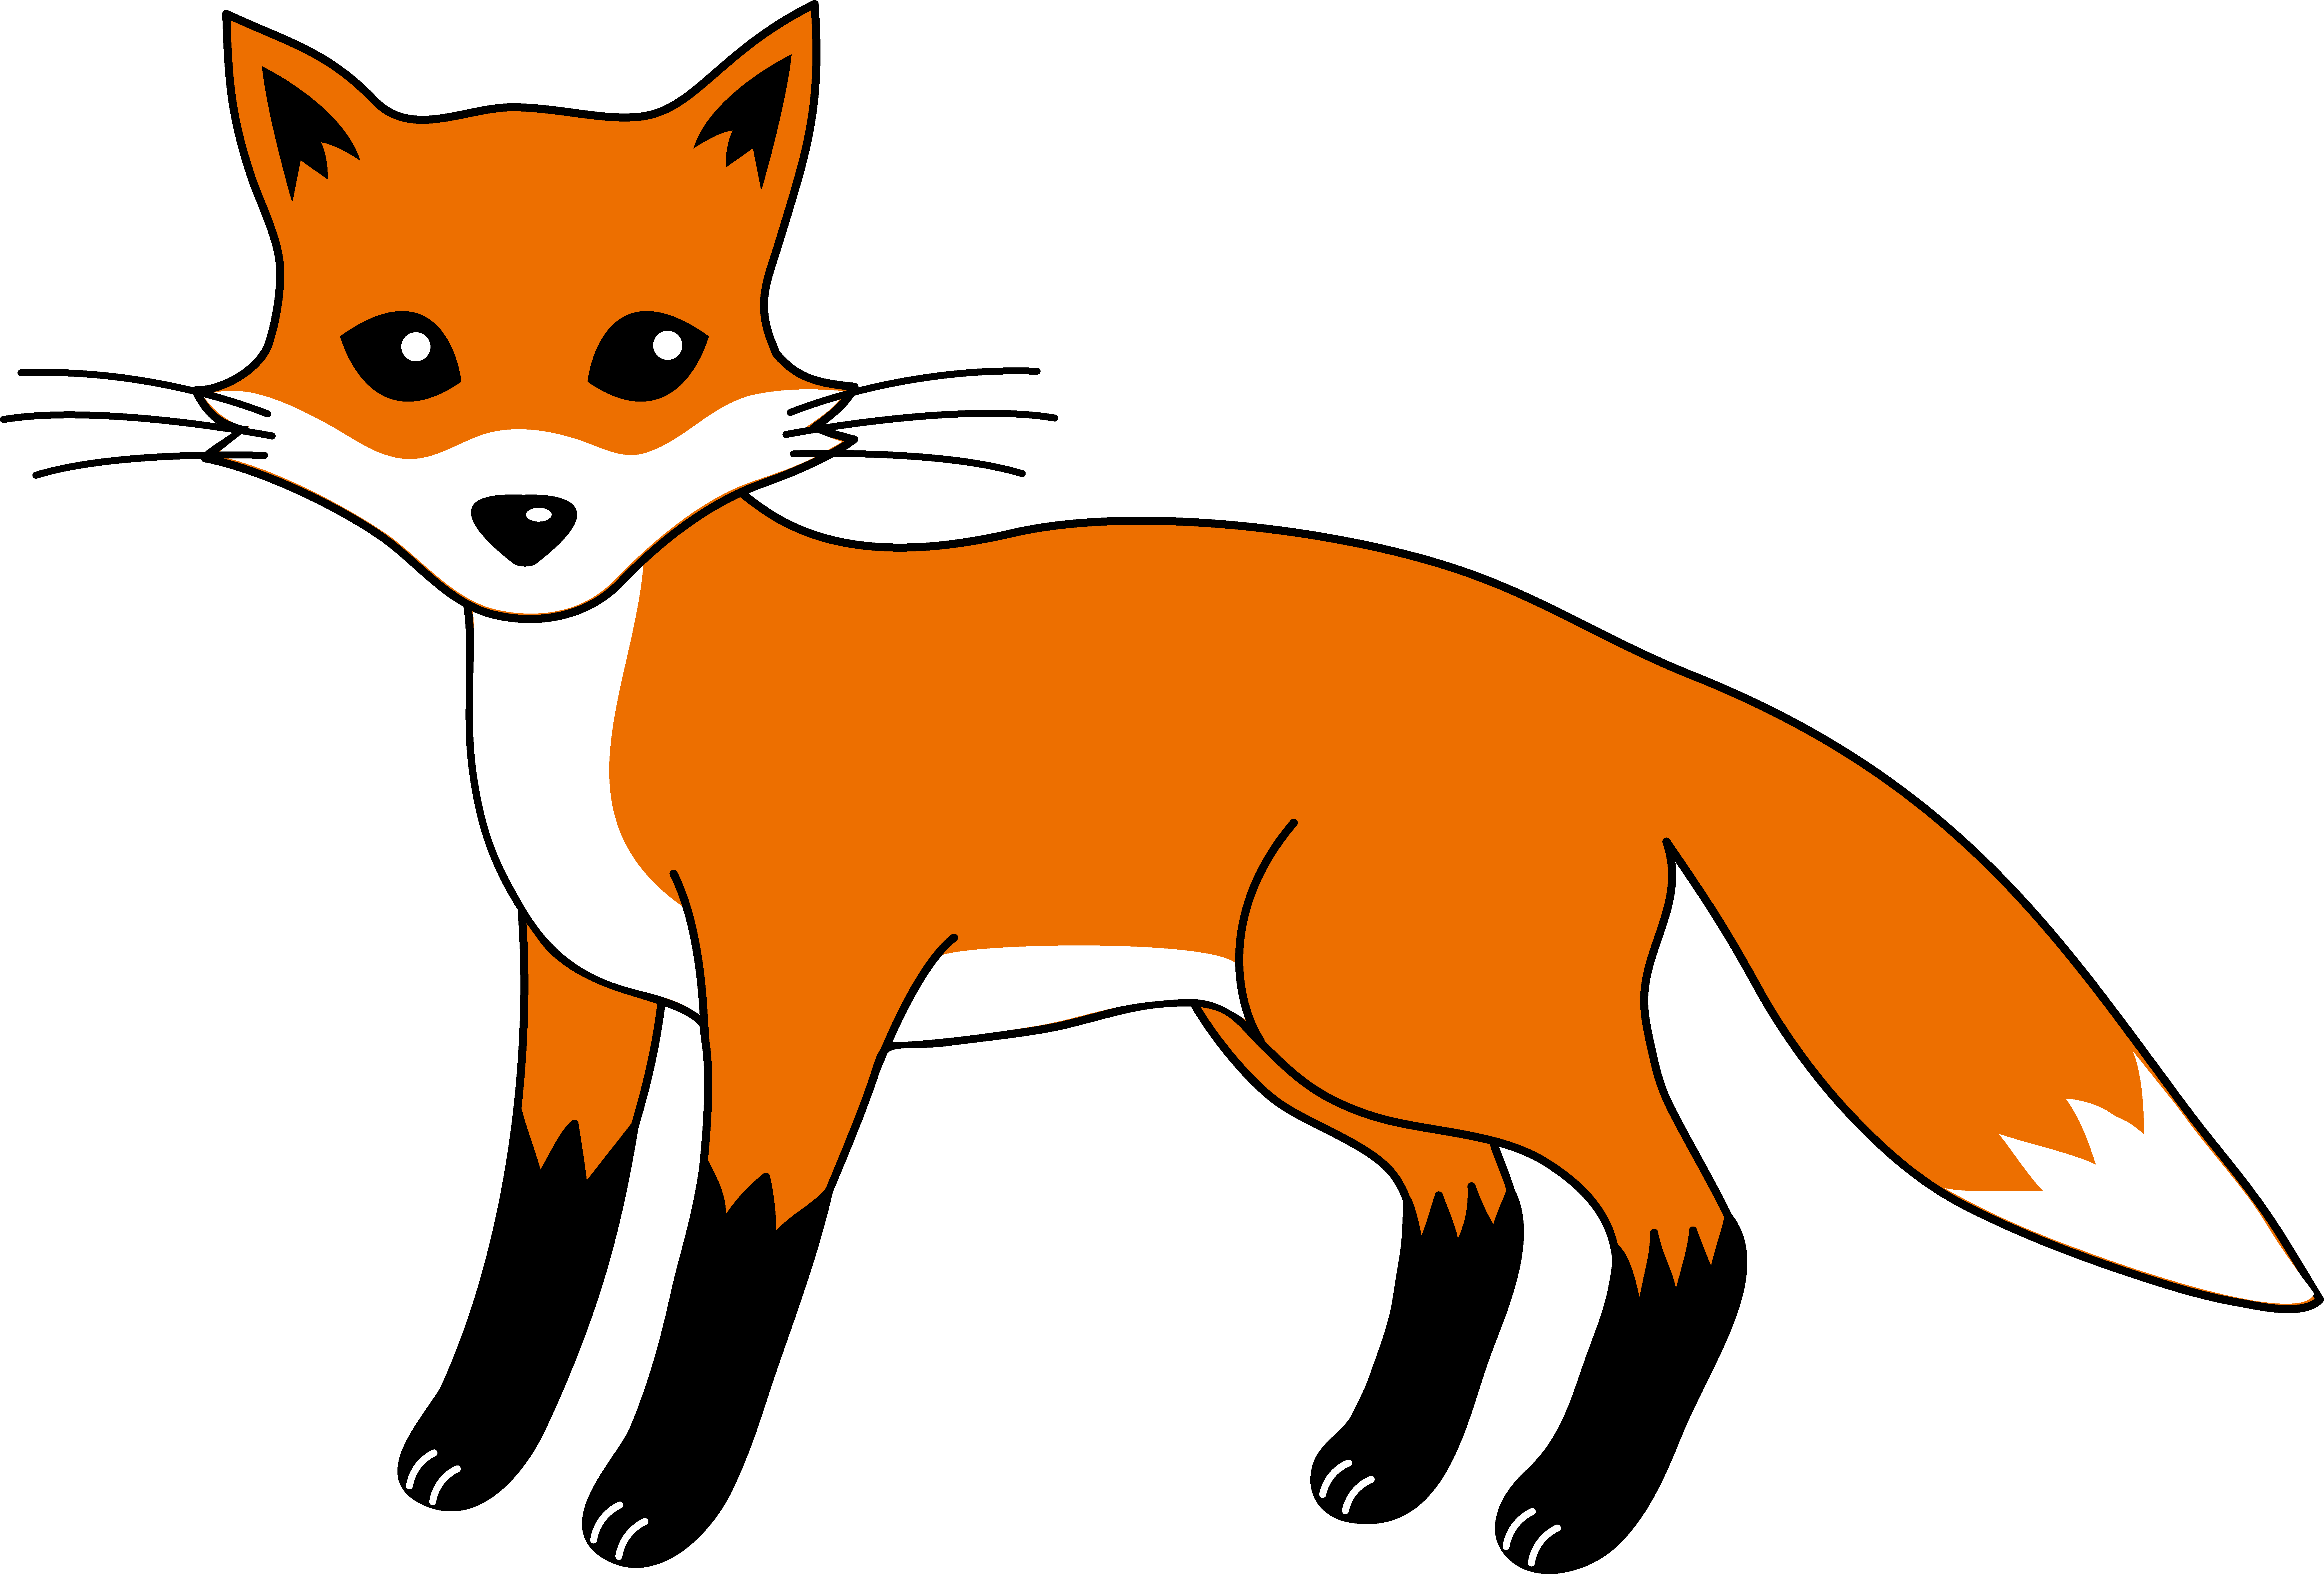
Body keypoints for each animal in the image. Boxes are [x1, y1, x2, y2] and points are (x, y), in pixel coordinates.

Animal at [210, 14, 2307, 1305]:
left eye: (648, 355)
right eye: (404, 358)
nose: (527, 521)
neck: (583, 693)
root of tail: (1607, 659)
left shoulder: (812, 970)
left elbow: (765, 1170)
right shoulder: (583, 983)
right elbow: (568, 1141)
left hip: (1370, 1003)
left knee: (1663, 1174)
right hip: (1280, 1029)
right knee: (1469, 1171)